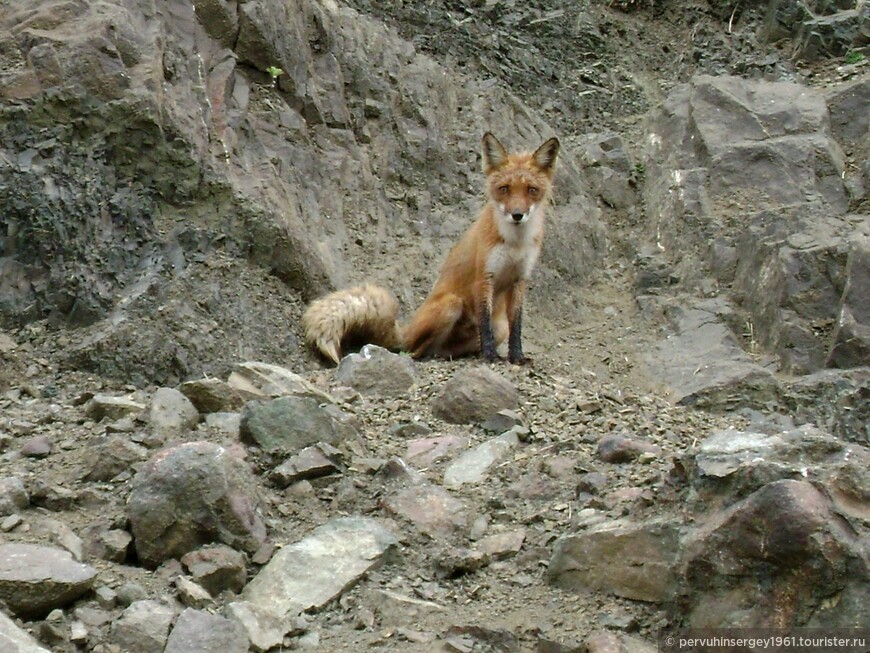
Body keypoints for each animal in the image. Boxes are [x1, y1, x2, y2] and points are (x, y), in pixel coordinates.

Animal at [306, 131, 564, 366]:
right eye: (505, 189)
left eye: (531, 190)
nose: (517, 215)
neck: (514, 242)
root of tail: (406, 329)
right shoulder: (484, 277)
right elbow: (485, 323)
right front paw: (490, 356)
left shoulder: (520, 279)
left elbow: (516, 324)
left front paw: (516, 357)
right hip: (451, 304)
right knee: (412, 351)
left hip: (496, 327)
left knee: (443, 348)